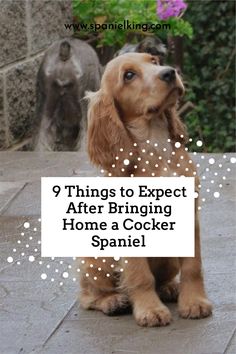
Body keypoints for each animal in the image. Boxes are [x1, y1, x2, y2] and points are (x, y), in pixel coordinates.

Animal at [79, 52, 212, 326]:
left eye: (155, 60)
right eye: (129, 75)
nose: (170, 72)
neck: (155, 144)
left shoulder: (189, 217)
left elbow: (193, 267)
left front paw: (194, 302)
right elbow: (140, 276)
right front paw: (150, 310)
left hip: (169, 259)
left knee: (164, 278)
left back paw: (170, 288)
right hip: (95, 261)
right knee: (88, 295)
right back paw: (113, 301)